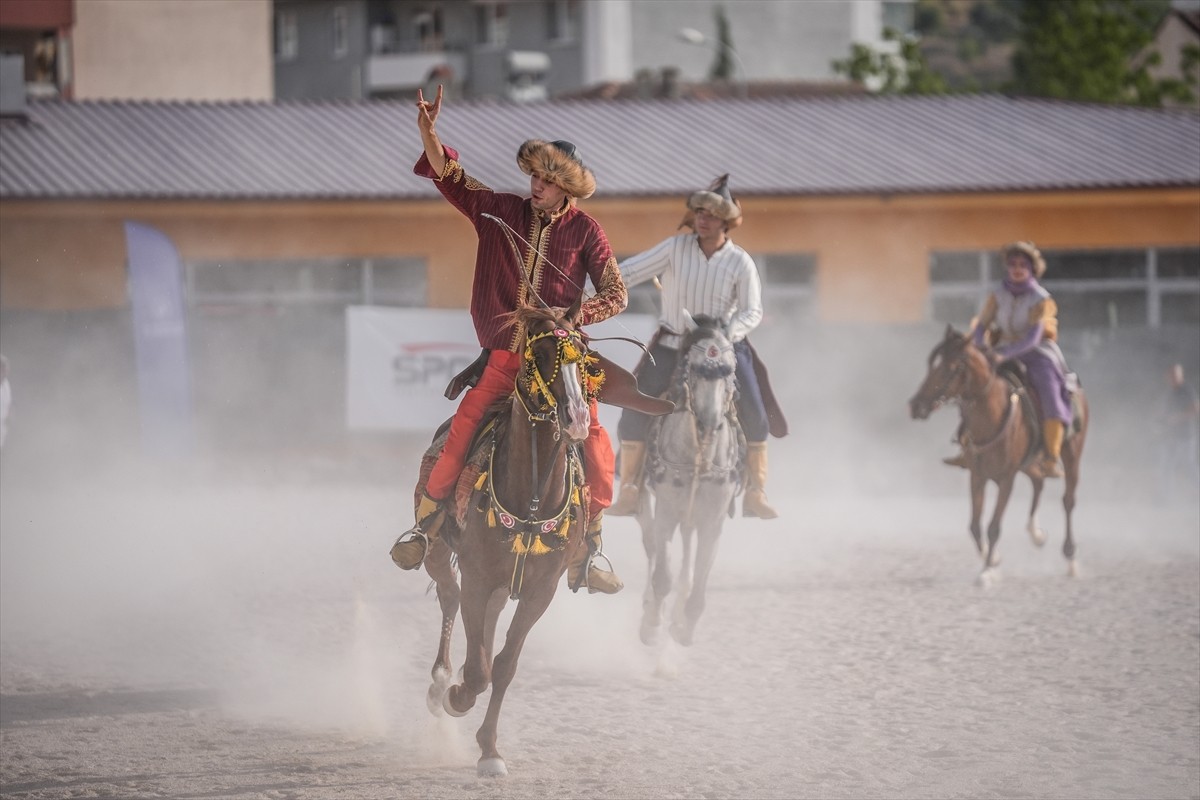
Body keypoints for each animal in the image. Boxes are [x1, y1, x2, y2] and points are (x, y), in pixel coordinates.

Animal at [420, 298, 592, 777]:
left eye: (583, 355)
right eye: (541, 354)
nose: (576, 417)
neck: (530, 494)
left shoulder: (541, 590)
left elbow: (504, 665)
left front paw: (490, 750)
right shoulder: (478, 575)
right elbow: (478, 670)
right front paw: (458, 697)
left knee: (487, 623)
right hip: (439, 550)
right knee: (449, 596)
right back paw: (442, 683)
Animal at [638, 314, 739, 652]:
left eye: (729, 371)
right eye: (693, 368)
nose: (709, 421)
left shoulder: (713, 522)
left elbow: (699, 583)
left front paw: (683, 628)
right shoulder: (666, 512)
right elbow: (662, 576)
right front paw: (652, 627)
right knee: (652, 550)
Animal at [907, 326, 1089, 582]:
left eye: (950, 368)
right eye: (931, 364)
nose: (916, 406)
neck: (991, 415)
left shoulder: (1006, 478)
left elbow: (993, 526)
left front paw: (986, 573)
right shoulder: (977, 475)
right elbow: (975, 525)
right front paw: (993, 560)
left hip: (1072, 454)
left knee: (1068, 500)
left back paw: (1071, 558)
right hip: (1028, 463)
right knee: (1038, 481)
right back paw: (1036, 534)